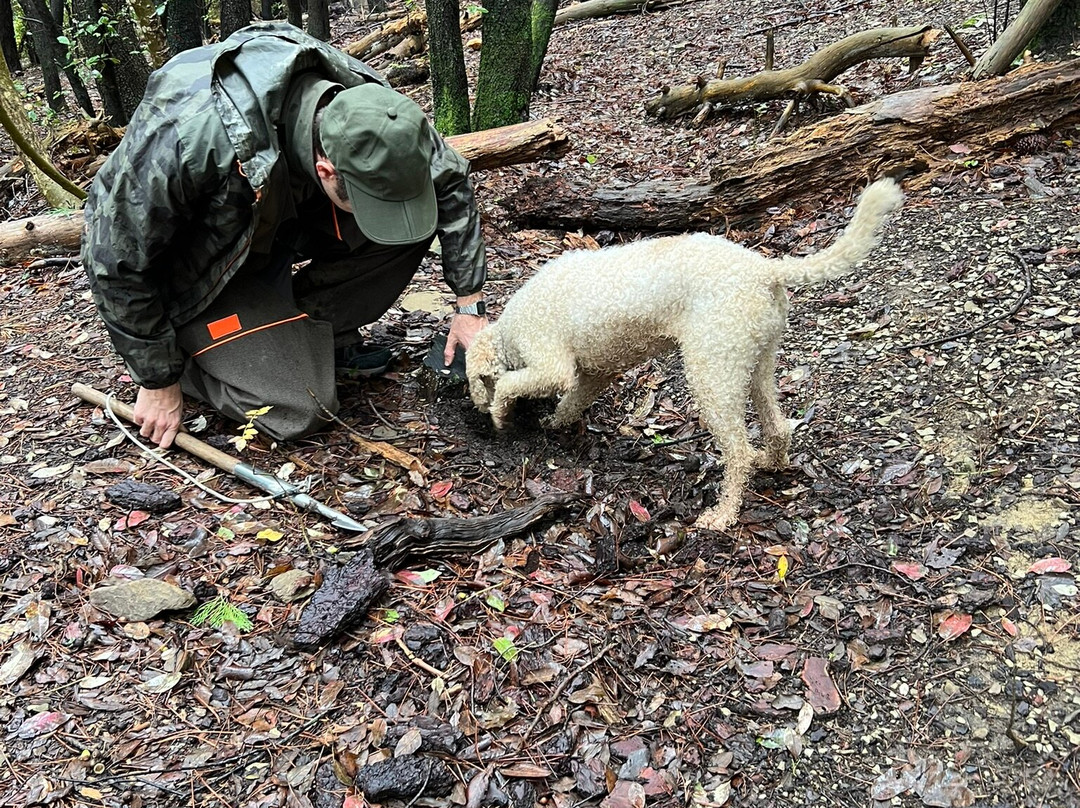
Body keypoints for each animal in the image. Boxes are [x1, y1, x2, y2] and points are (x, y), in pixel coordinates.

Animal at [470, 179, 902, 529]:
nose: (476, 409)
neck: (508, 330)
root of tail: (762, 269)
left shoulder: (551, 361)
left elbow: (518, 383)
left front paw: (500, 413)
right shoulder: (595, 373)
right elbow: (573, 399)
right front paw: (555, 422)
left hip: (712, 370)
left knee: (738, 451)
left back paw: (722, 515)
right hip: (756, 360)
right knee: (777, 426)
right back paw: (771, 461)